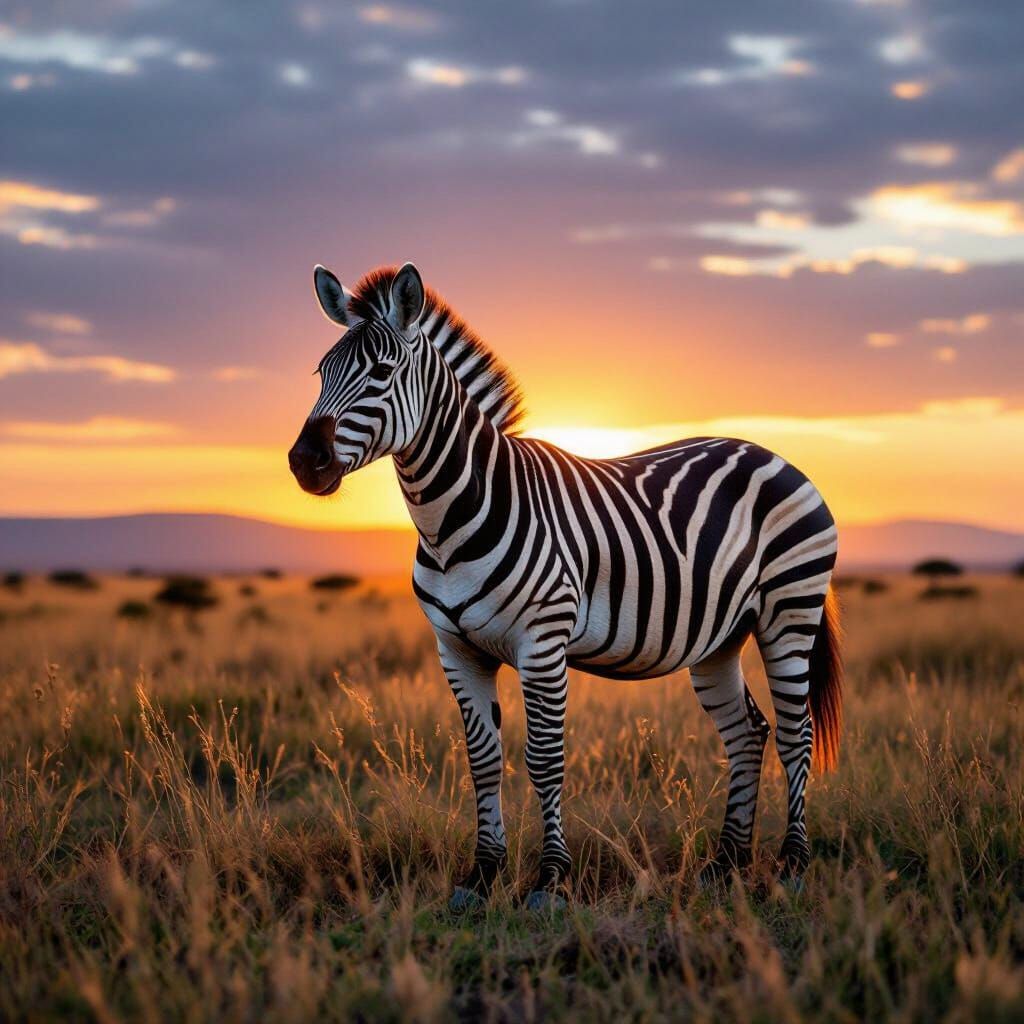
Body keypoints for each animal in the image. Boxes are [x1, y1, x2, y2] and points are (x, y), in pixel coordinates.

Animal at [289, 261, 843, 911]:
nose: (304, 461)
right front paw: (482, 875)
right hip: (718, 639)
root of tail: (771, 454)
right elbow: (483, 759)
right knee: (747, 732)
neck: (452, 519)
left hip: (790, 611)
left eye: (381, 372)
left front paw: (550, 880)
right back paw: (725, 864)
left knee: (796, 734)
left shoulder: (543, 643)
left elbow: (544, 758)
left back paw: (791, 867)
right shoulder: (456, 650)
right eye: (320, 374)